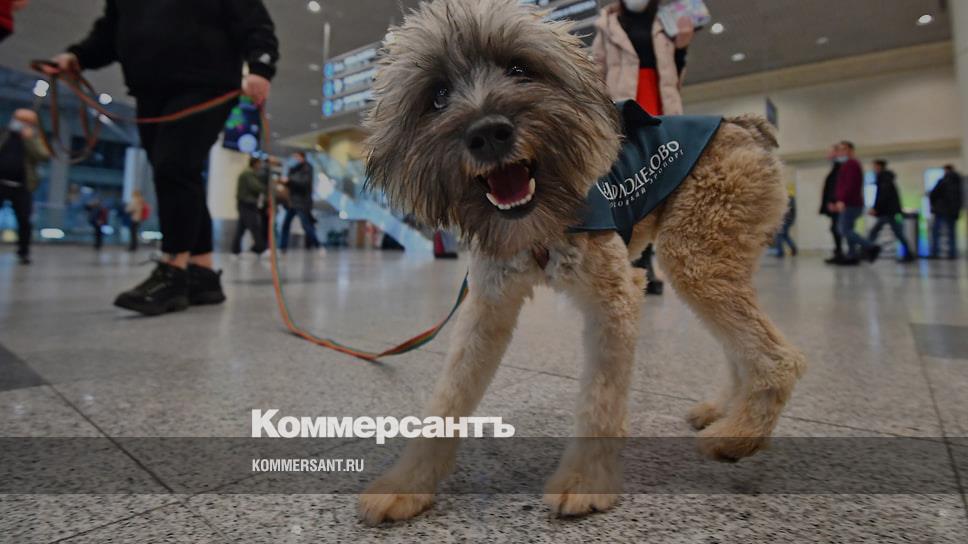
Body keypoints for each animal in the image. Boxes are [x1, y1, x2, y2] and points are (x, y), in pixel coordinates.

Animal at [358, 0, 806, 524]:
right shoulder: (488, 307)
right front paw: (408, 482)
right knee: (744, 348)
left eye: (520, 68)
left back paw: (738, 436)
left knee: (779, 357)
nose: (488, 132)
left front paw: (585, 481)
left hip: (695, 257)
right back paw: (725, 412)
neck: (541, 221)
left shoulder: (615, 297)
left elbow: (600, 398)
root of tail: (742, 123)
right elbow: (449, 395)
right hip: (715, 259)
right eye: (439, 95)